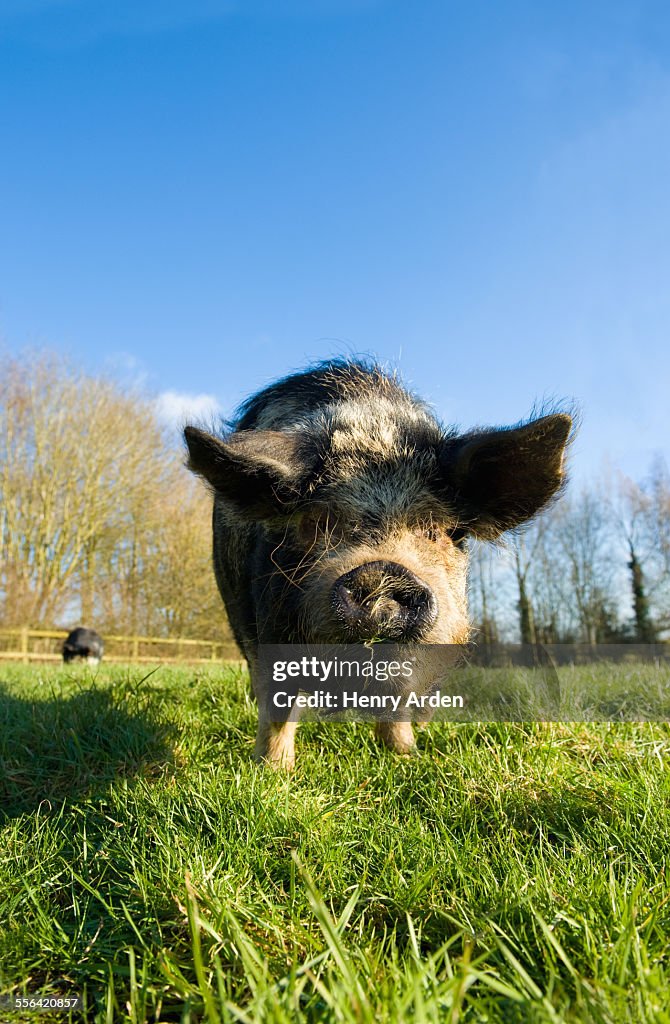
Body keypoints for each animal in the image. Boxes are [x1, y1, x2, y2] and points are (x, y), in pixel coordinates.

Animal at [183, 360, 573, 770]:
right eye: (314, 523)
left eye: (436, 530)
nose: (382, 572)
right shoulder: (265, 625)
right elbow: (278, 708)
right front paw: (273, 771)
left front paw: (407, 755)